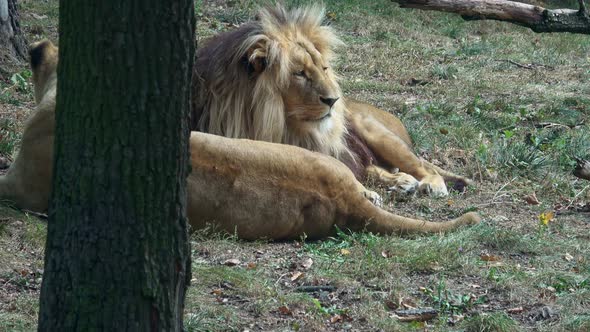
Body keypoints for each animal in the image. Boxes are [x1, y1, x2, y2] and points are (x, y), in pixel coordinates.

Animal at [0, 40, 480, 240]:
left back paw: (429, 184)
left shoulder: (19, 185)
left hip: (377, 135)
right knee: (375, 178)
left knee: (422, 166)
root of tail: (344, 198)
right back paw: (394, 189)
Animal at [192, 4, 474, 197]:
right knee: (376, 168)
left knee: (424, 167)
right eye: (300, 73)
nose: (334, 100)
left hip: (376, 133)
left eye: (324, 68)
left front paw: (365, 194)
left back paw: (430, 185)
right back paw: (402, 182)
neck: (281, 126)